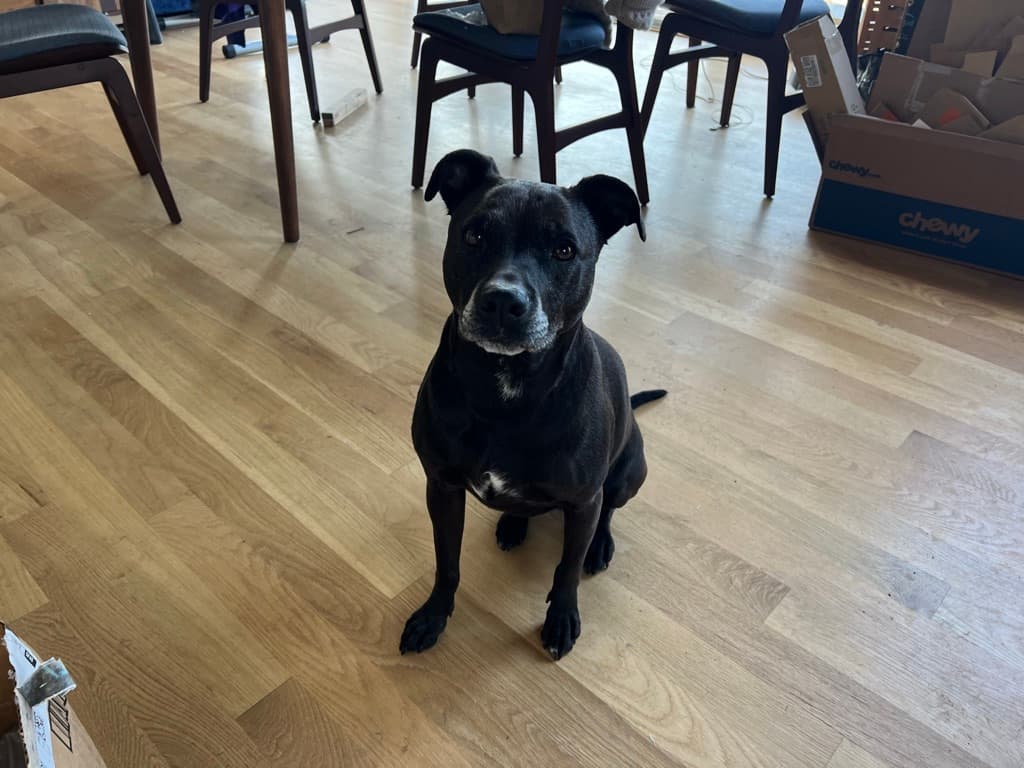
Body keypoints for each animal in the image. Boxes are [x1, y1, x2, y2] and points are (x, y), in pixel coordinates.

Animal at [399, 148, 663, 663]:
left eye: (564, 250)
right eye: (475, 235)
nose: (503, 302)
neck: (506, 390)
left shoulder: (582, 501)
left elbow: (566, 571)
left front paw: (561, 619)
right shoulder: (441, 487)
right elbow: (446, 561)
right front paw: (434, 615)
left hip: (628, 474)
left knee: (609, 511)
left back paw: (599, 546)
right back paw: (513, 523)